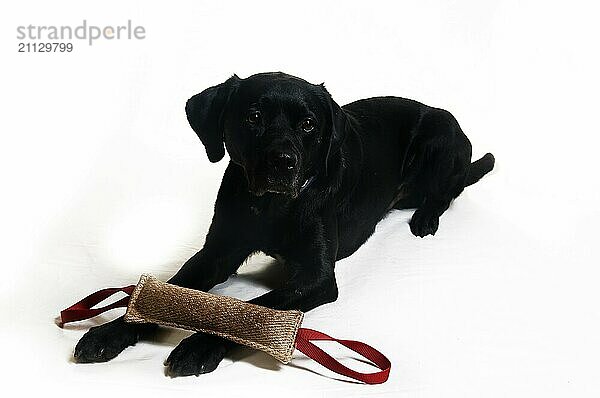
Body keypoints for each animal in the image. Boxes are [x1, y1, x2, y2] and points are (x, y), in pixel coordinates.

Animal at [74, 72, 492, 376]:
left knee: (447, 191)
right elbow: (166, 292)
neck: (270, 207)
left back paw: (425, 218)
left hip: (439, 138)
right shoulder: (217, 253)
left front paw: (200, 344)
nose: (282, 162)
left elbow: (261, 307)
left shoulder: (316, 277)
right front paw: (112, 331)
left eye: (308, 124)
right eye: (253, 117)